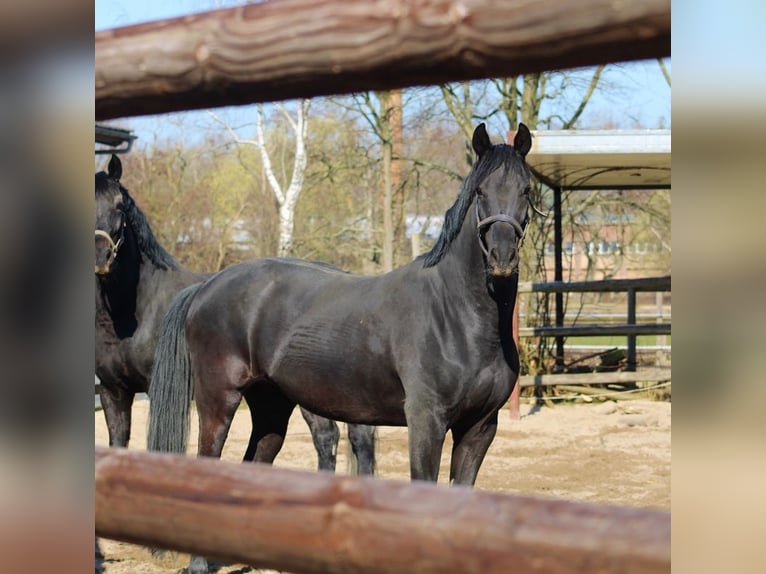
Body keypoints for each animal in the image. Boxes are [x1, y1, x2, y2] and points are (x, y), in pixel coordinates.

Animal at [93, 155, 376, 474]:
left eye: (119, 205)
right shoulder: (112, 390)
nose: (101, 257)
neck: (136, 310)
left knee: (327, 436)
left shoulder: (158, 390)